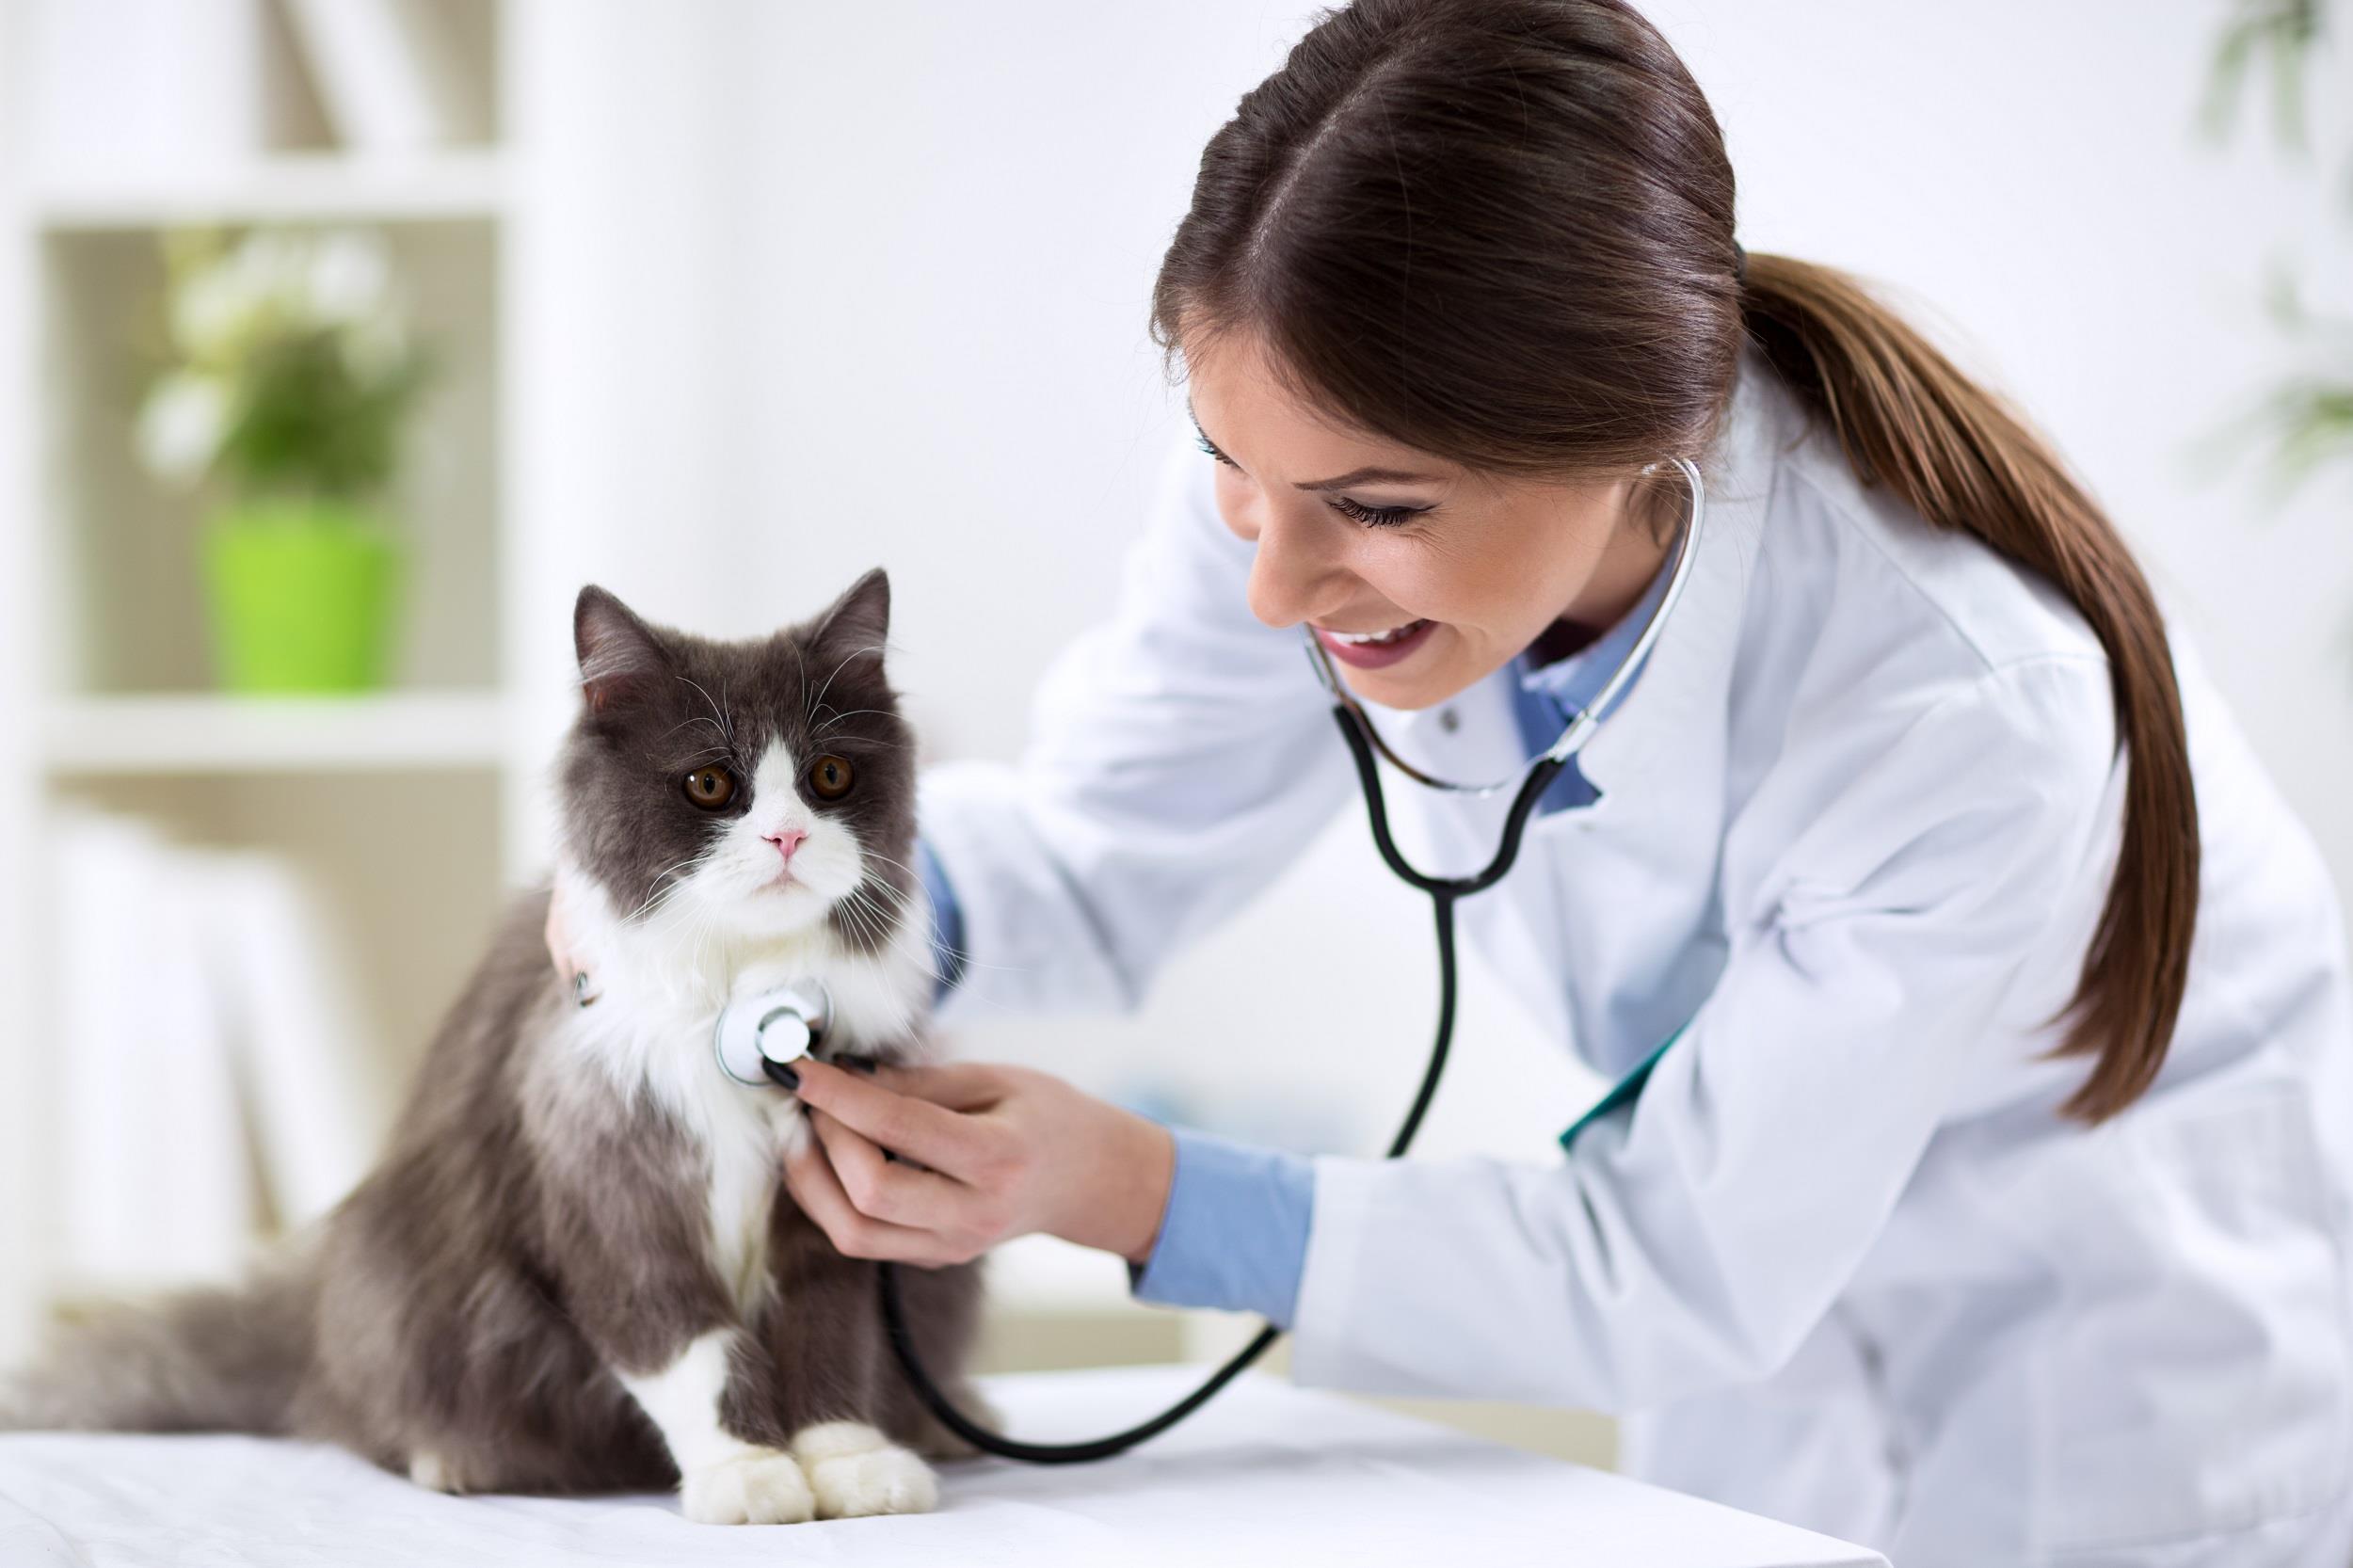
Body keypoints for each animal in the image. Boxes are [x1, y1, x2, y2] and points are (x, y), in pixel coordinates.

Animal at [0, 567, 988, 1515]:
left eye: (830, 777)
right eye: (710, 784)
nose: (785, 835)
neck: (743, 1000)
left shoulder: (835, 1211)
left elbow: (831, 1336)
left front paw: (852, 1462)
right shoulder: (610, 1194)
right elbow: (691, 1348)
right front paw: (746, 1472)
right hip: (407, 1288)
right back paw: (451, 1460)